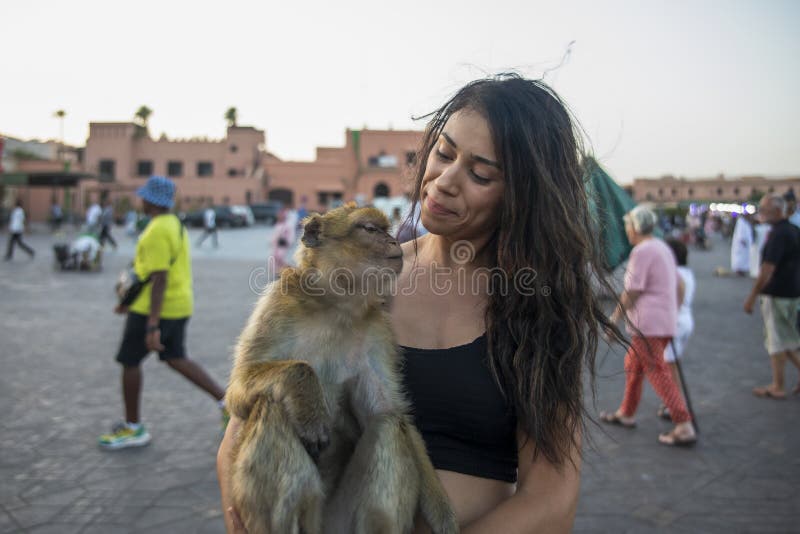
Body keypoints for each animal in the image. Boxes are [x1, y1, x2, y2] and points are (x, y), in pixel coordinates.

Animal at [228, 204, 460, 534]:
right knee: (271, 407)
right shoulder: (277, 305)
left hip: (339, 521)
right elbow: (238, 390)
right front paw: (311, 410)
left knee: (389, 424)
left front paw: (442, 515)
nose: (393, 241)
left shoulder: (377, 332)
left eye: (387, 230)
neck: (336, 307)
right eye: (370, 229)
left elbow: (387, 409)